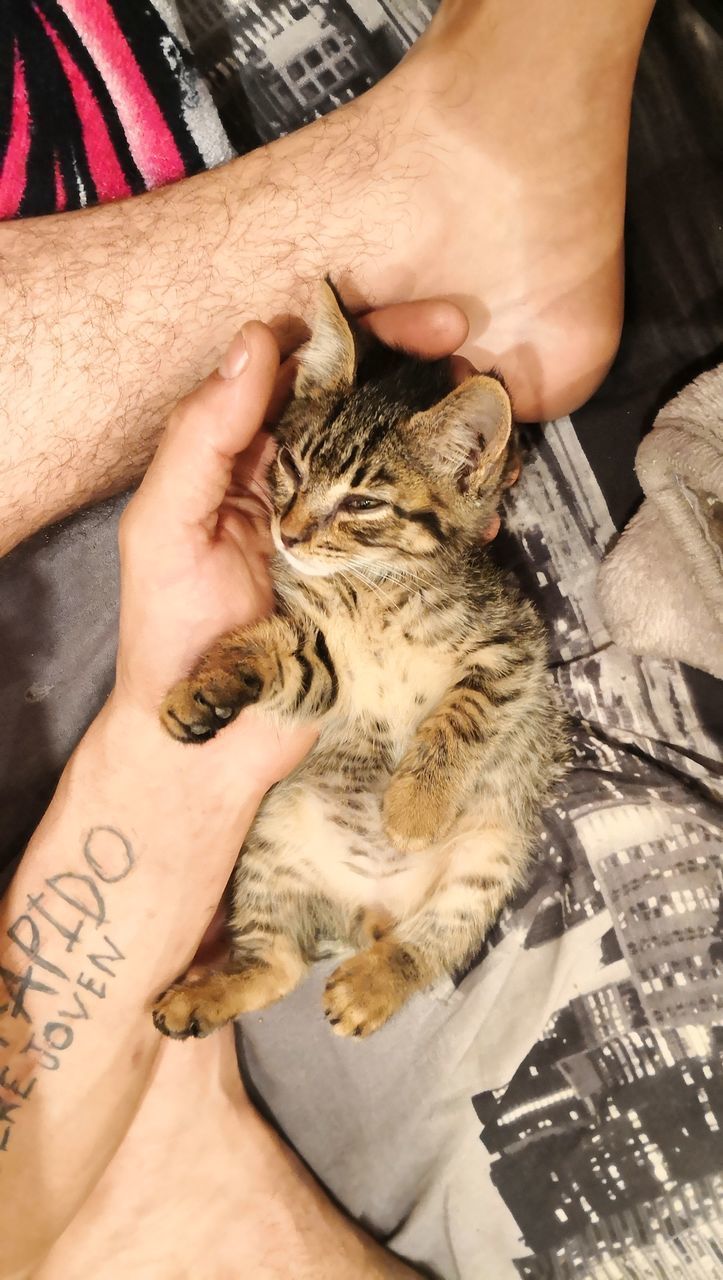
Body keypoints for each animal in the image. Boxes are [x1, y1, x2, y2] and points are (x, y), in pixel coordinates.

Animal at [152, 282, 565, 1039]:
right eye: (290, 466)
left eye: (364, 502)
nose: (286, 534)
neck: (373, 588)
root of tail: (368, 912)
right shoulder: (327, 670)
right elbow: (274, 657)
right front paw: (207, 686)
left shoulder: (515, 647)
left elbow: (463, 712)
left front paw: (413, 807)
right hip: (269, 847)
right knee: (280, 966)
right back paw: (208, 993)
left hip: (487, 862)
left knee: (429, 944)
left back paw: (372, 984)